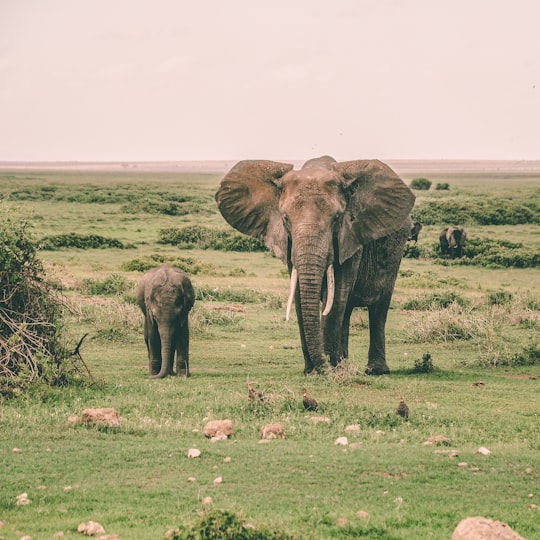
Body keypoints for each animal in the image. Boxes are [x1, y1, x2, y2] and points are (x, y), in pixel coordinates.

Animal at [214, 156, 414, 376]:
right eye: (285, 218)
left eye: (337, 218)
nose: (320, 367)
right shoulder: (290, 244)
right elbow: (300, 296)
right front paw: (313, 371)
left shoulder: (350, 238)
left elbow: (336, 297)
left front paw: (328, 370)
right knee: (347, 310)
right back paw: (344, 365)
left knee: (378, 307)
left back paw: (374, 370)